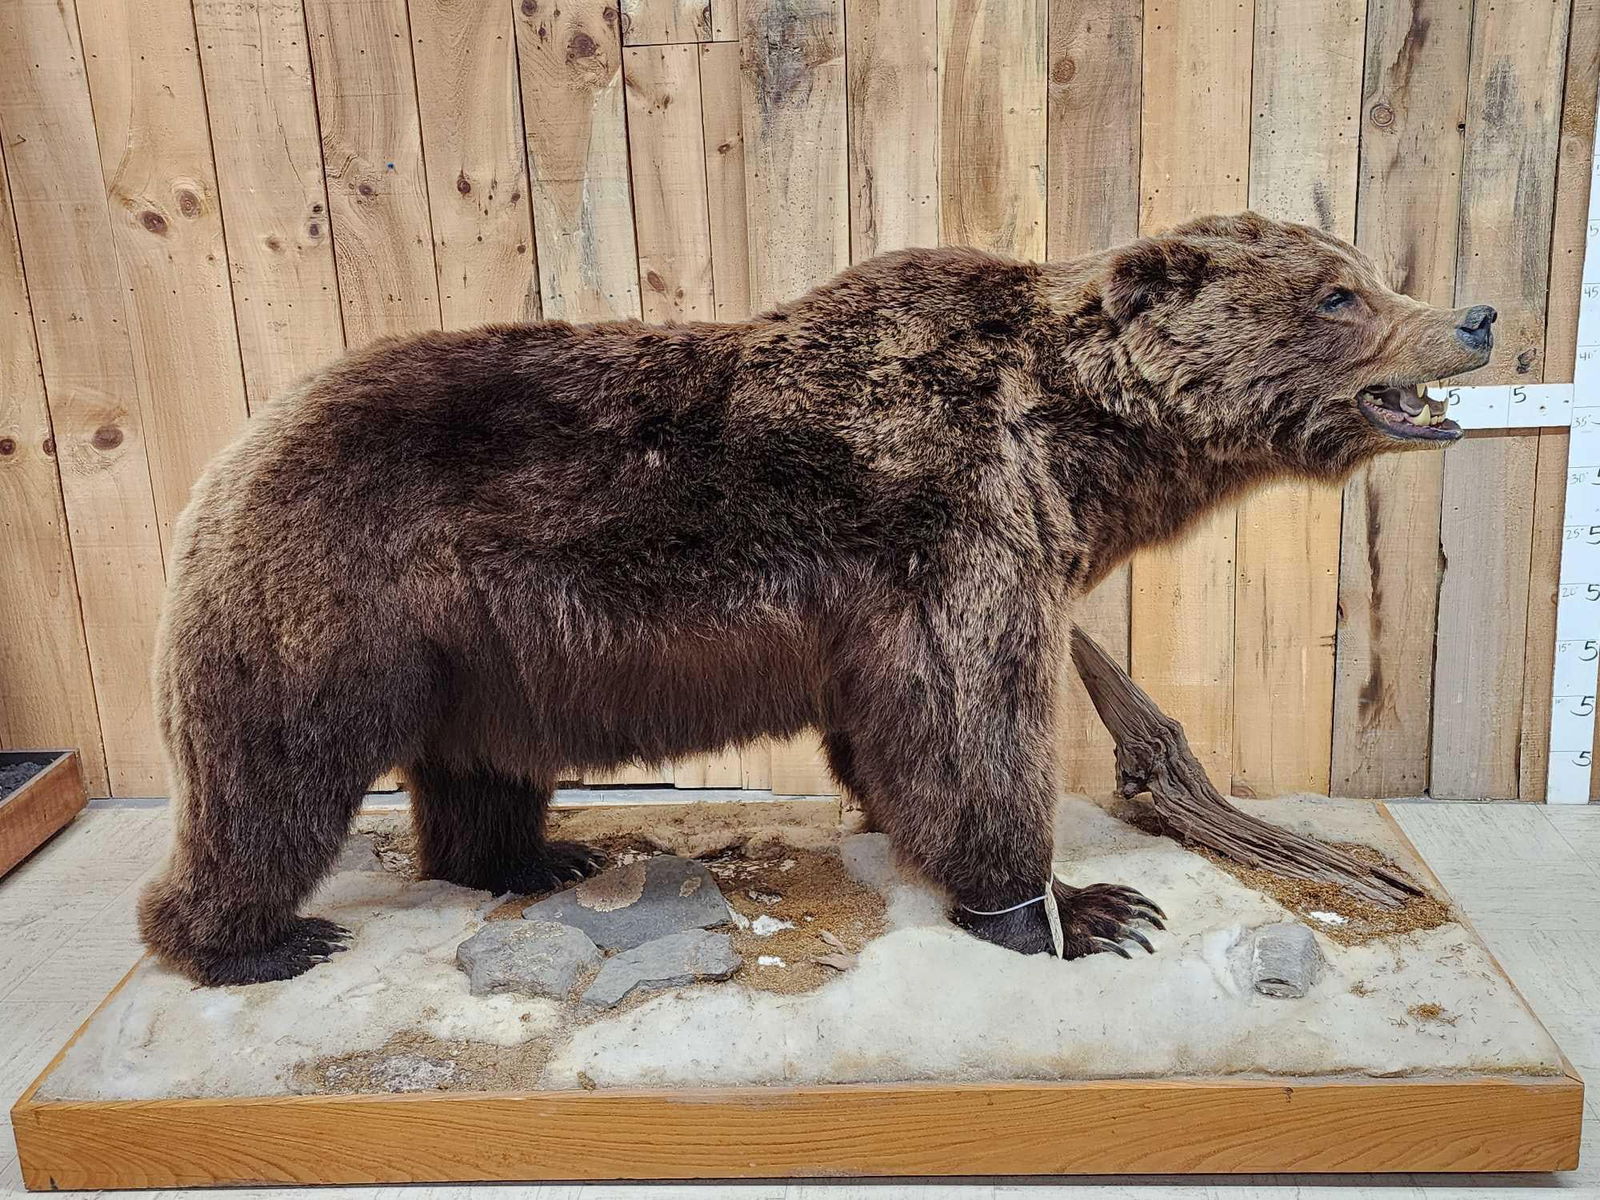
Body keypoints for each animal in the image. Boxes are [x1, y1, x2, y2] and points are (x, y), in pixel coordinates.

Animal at [138, 212, 1494, 985]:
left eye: (1369, 269)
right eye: (1340, 294)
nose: (1475, 317)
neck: (1076, 440)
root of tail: (239, 443)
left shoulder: (910, 575)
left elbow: (899, 727)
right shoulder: (964, 514)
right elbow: (975, 721)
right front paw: (1079, 907)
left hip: (476, 649)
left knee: (478, 765)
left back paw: (537, 858)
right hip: (337, 594)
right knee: (271, 774)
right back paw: (250, 939)